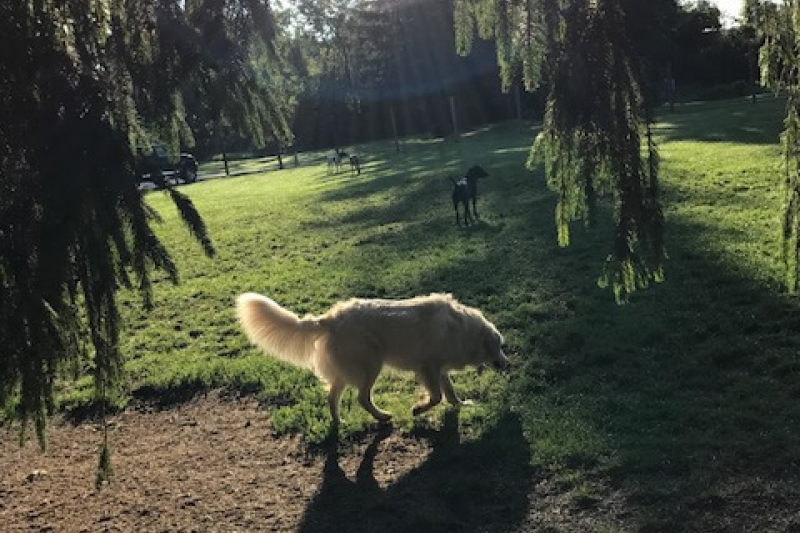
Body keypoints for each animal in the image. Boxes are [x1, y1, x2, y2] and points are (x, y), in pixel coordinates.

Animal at [236, 290, 506, 428]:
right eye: (499, 346)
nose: (506, 364)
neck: (463, 329)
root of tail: (330, 319)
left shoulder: (438, 369)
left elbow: (449, 393)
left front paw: (461, 404)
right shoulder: (428, 366)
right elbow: (437, 396)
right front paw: (418, 409)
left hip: (344, 373)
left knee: (332, 398)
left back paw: (339, 422)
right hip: (370, 366)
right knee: (362, 398)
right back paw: (382, 416)